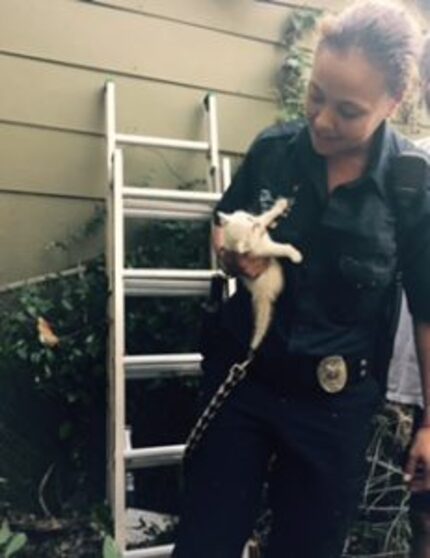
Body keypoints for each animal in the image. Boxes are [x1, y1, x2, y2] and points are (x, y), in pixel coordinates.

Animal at [218, 199, 302, 352]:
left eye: (248, 218)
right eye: (251, 228)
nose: (254, 221)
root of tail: (262, 295)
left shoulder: (261, 226)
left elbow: (266, 216)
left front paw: (279, 206)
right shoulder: (262, 250)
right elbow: (280, 248)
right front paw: (295, 255)